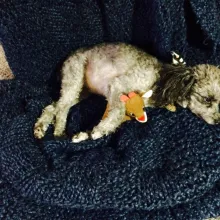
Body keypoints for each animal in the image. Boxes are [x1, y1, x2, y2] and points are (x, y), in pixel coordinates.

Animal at [33, 42, 220, 143]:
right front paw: (100, 130)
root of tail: (68, 57)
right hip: (75, 78)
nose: (218, 121)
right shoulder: (119, 85)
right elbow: (118, 113)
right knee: (62, 108)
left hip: (81, 91)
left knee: (53, 106)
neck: (164, 79)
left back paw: (41, 127)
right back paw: (58, 131)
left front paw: (86, 134)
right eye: (207, 99)